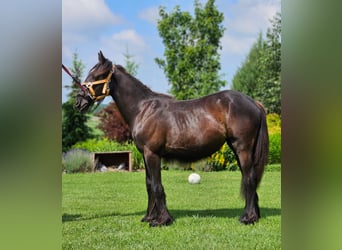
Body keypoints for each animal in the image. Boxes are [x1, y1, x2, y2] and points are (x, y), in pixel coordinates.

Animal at [73, 51, 268, 227]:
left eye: (97, 75)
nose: (79, 102)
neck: (143, 109)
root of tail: (254, 103)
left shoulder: (152, 154)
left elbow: (157, 186)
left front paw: (162, 220)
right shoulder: (145, 155)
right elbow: (149, 184)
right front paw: (149, 217)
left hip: (242, 149)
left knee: (249, 178)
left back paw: (248, 218)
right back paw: (254, 215)